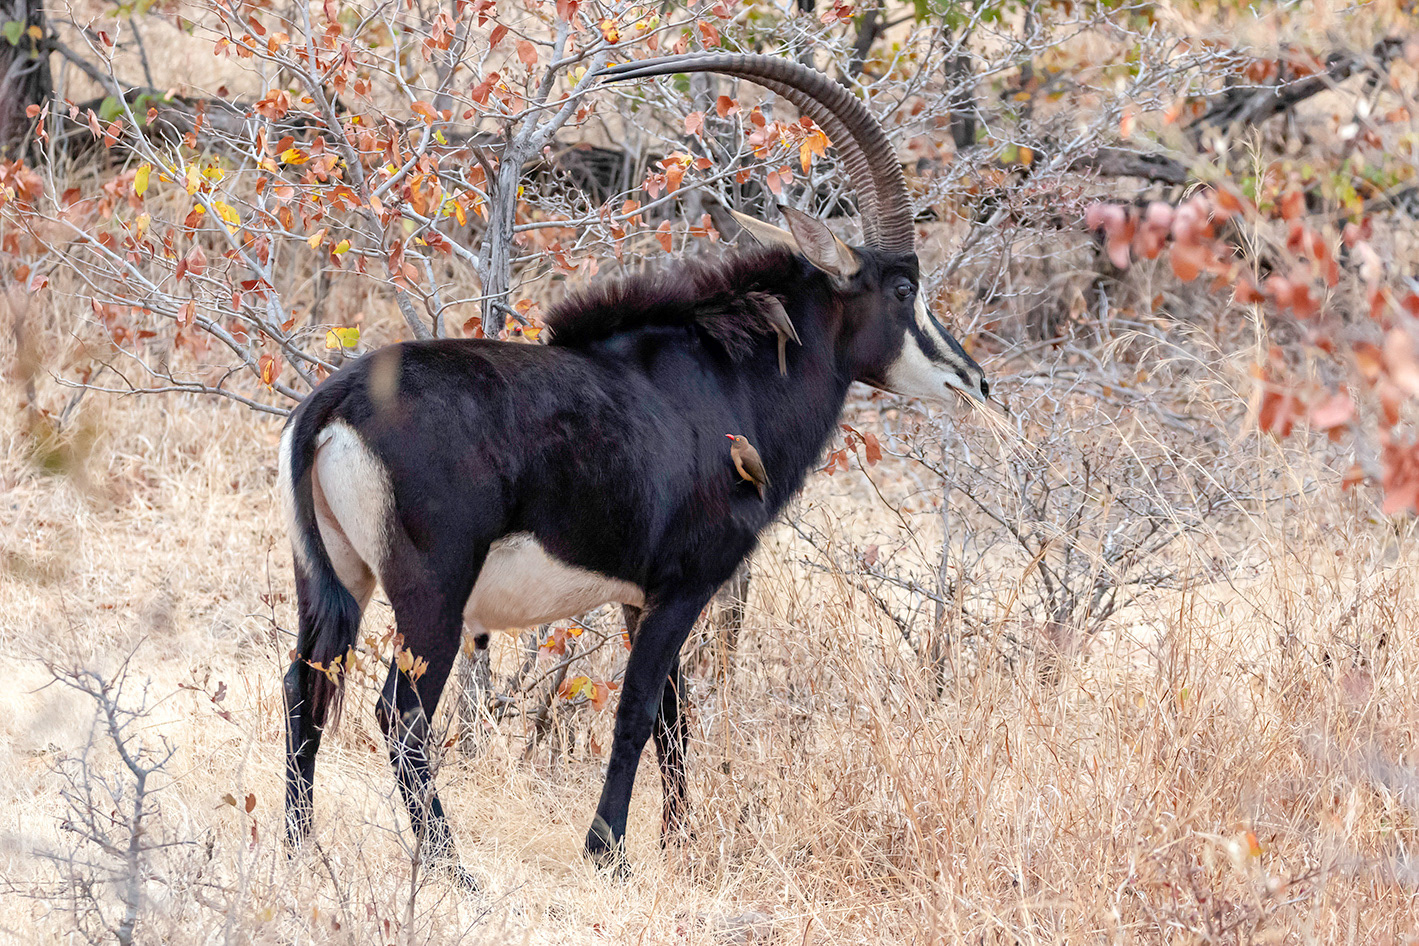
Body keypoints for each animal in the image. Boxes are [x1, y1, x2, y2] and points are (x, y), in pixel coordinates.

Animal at [279, 53, 989, 884]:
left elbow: (676, 717)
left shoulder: (637, 596)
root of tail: (339, 399)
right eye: (905, 288)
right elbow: (639, 709)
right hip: (432, 591)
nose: (973, 380)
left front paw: (682, 845)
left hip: (335, 578)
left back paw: (300, 850)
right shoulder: (686, 583)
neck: (724, 376)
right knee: (400, 712)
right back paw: (451, 868)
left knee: (303, 685)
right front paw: (608, 851)